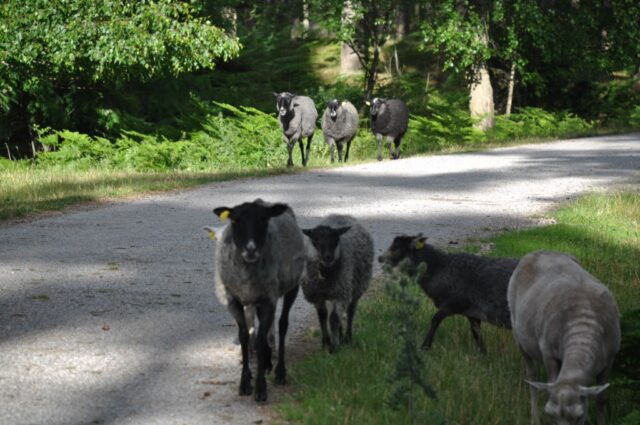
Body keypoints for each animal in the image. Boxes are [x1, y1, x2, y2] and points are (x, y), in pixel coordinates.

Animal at [207, 199, 306, 402]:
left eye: (263, 219)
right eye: (235, 220)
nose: (250, 249)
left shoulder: (268, 299)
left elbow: (260, 338)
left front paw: (261, 388)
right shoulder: (234, 301)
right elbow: (245, 336)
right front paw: (245, 382)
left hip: (291, 287)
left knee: (282, 324)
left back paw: (279, 372)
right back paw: (267, 362)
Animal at [301, 214, 374, 352]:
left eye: (335, 240)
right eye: (316, 240)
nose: (328, 257)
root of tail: (343, 215)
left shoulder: (341, 293)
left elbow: (334, 319)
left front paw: (334, 348)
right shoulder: (318, 296)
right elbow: (323, 316)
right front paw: (326, 342)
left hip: (356, 286)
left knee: (350, 311)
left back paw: (347, 338)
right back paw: (339, 336)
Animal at [378, 234, 517, 353]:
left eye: (397, 247)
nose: (380, 258)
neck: (439, 267)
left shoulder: (453, 303)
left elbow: (435, 320)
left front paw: (425, 347)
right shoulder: (472, 312)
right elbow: (476, 333)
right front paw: (483, 353)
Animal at [508, 251, 621, 425]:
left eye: (580, 416)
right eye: (550, 414)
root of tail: (538, 251)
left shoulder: (610, 360)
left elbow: (601, 398)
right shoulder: (549, 354)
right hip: (518, 334)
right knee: (532, 375)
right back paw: (534, 416)